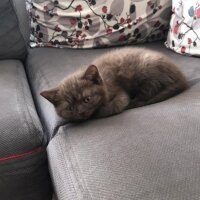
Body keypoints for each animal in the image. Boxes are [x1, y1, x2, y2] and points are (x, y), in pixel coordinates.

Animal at [40, 47, 188, 122]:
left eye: (87, 99)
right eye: (70, 108)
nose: (81, 112)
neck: (104, 81)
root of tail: (180, 76)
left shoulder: (118, 93)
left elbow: (113, 106)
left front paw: (97, 112)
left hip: (146, 71)